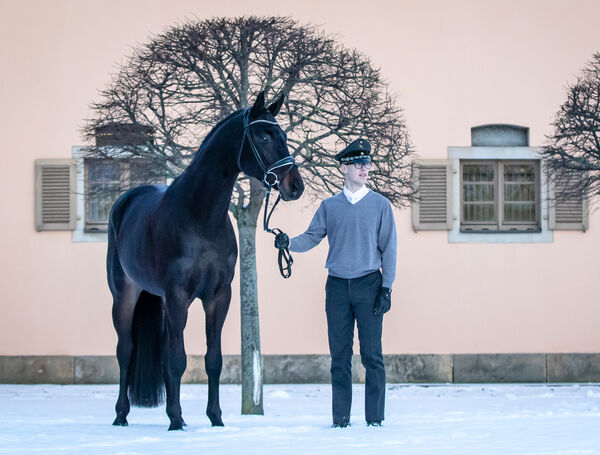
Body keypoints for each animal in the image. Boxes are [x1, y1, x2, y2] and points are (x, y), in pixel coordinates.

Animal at [108, 91, 304, 432]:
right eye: (264, 136)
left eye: (284, 136)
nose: (296, 186)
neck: (199, 217)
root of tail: (126, 201)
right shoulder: (178, 296)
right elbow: (178, 360)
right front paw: (176, 420)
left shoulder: (218, 295)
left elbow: (213, 360)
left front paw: (216, 418)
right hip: (124, 295)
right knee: (126, 351)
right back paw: (122, 415)